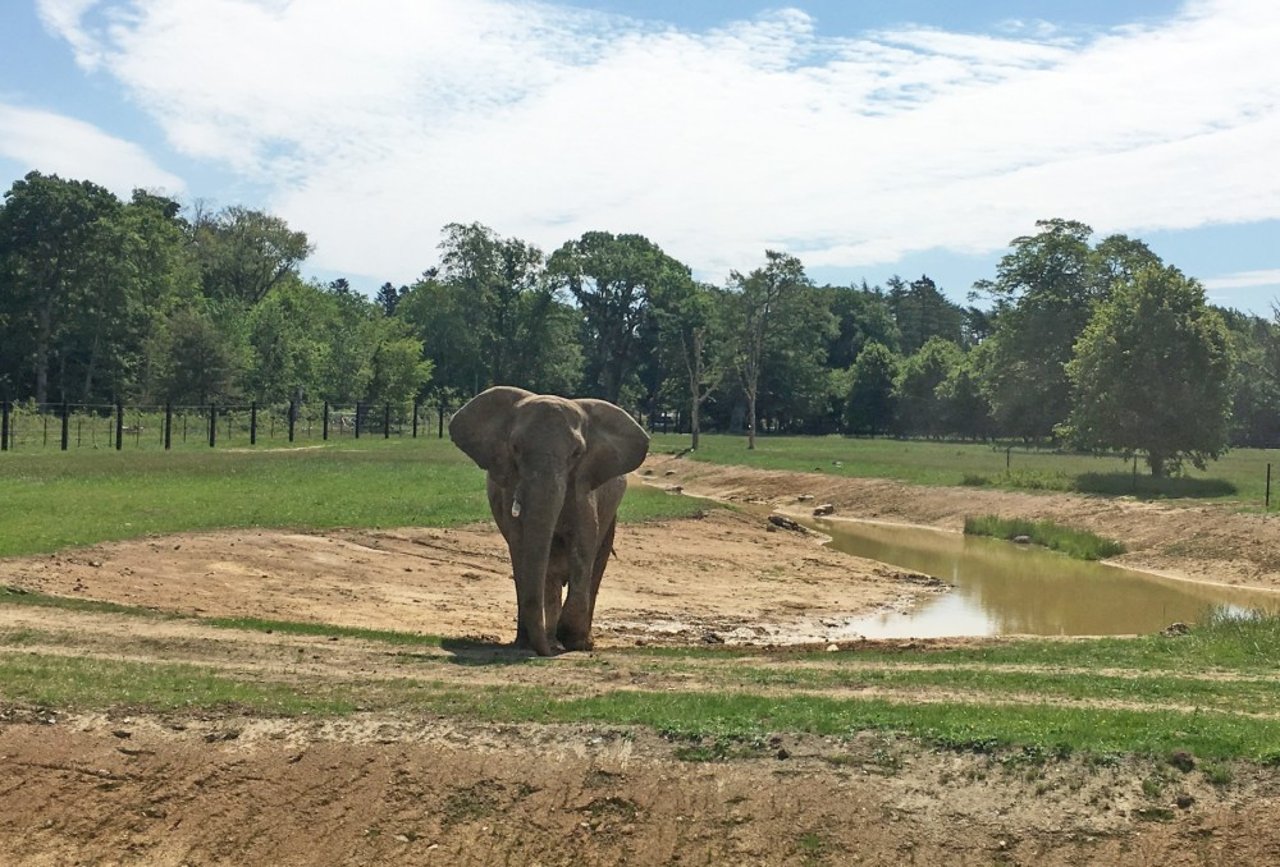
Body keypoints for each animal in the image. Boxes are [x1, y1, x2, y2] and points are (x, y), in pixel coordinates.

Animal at [450, 386, 650, 655]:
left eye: (577, 453)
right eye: (515, 448)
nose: (546, 652)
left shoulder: (584, 486)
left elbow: (583, 545)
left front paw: (572, 639)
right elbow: (522, 546)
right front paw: (531, 642)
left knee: (595, 564)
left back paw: (578, 641)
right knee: (548, 575)